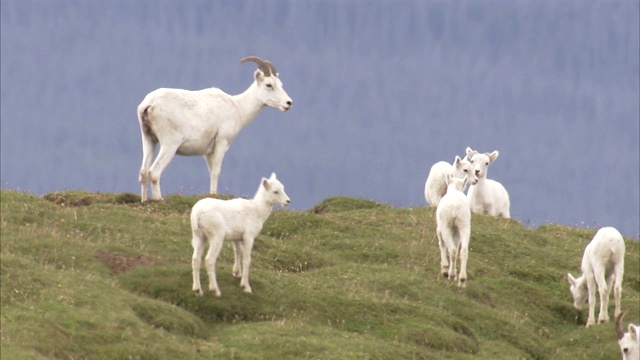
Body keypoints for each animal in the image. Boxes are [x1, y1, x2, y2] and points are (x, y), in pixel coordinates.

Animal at [139, 56, 294, 202]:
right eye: (269, 85)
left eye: (280, 84)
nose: (288, 103)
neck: (238, 107)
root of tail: (149, 103)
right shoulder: (222, 142)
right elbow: (216, 171)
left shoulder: (208, 152)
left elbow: (211, 171)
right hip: (169, 145)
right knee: (154, 172)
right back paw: (159, 199)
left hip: (149, 140)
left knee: (143, 172)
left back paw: (144, 200)